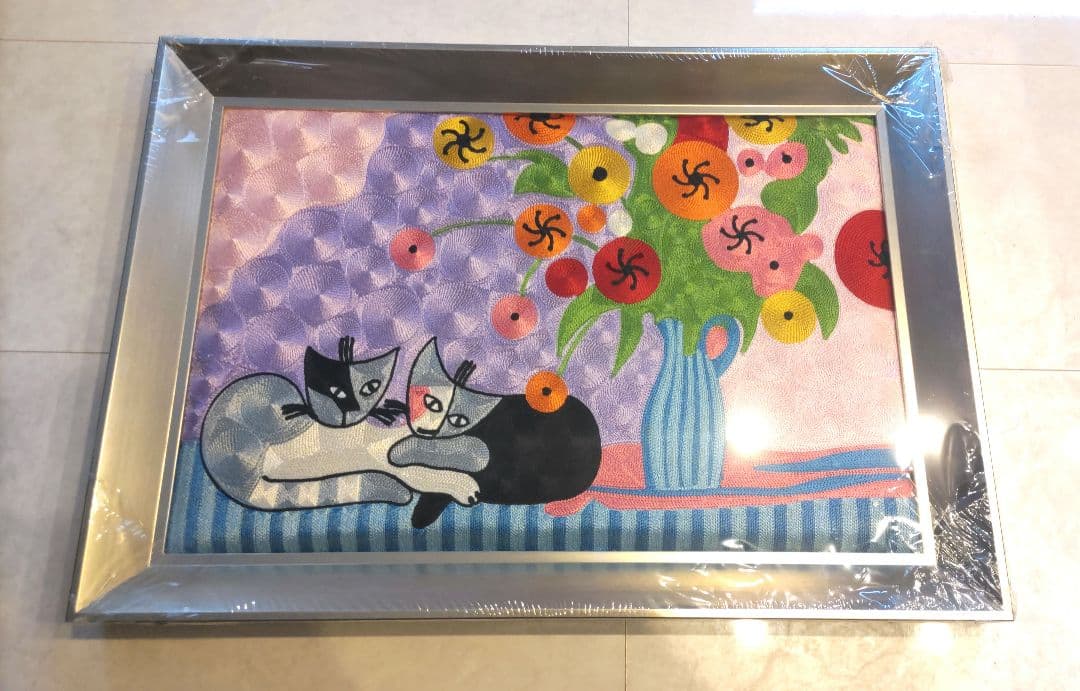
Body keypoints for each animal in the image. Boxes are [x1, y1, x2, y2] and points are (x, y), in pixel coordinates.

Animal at [388, 338, 603, 528]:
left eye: (458, 420)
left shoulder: (482, 449)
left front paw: (400, 451)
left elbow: (451, 450)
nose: (427, 430)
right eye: (431, 403)